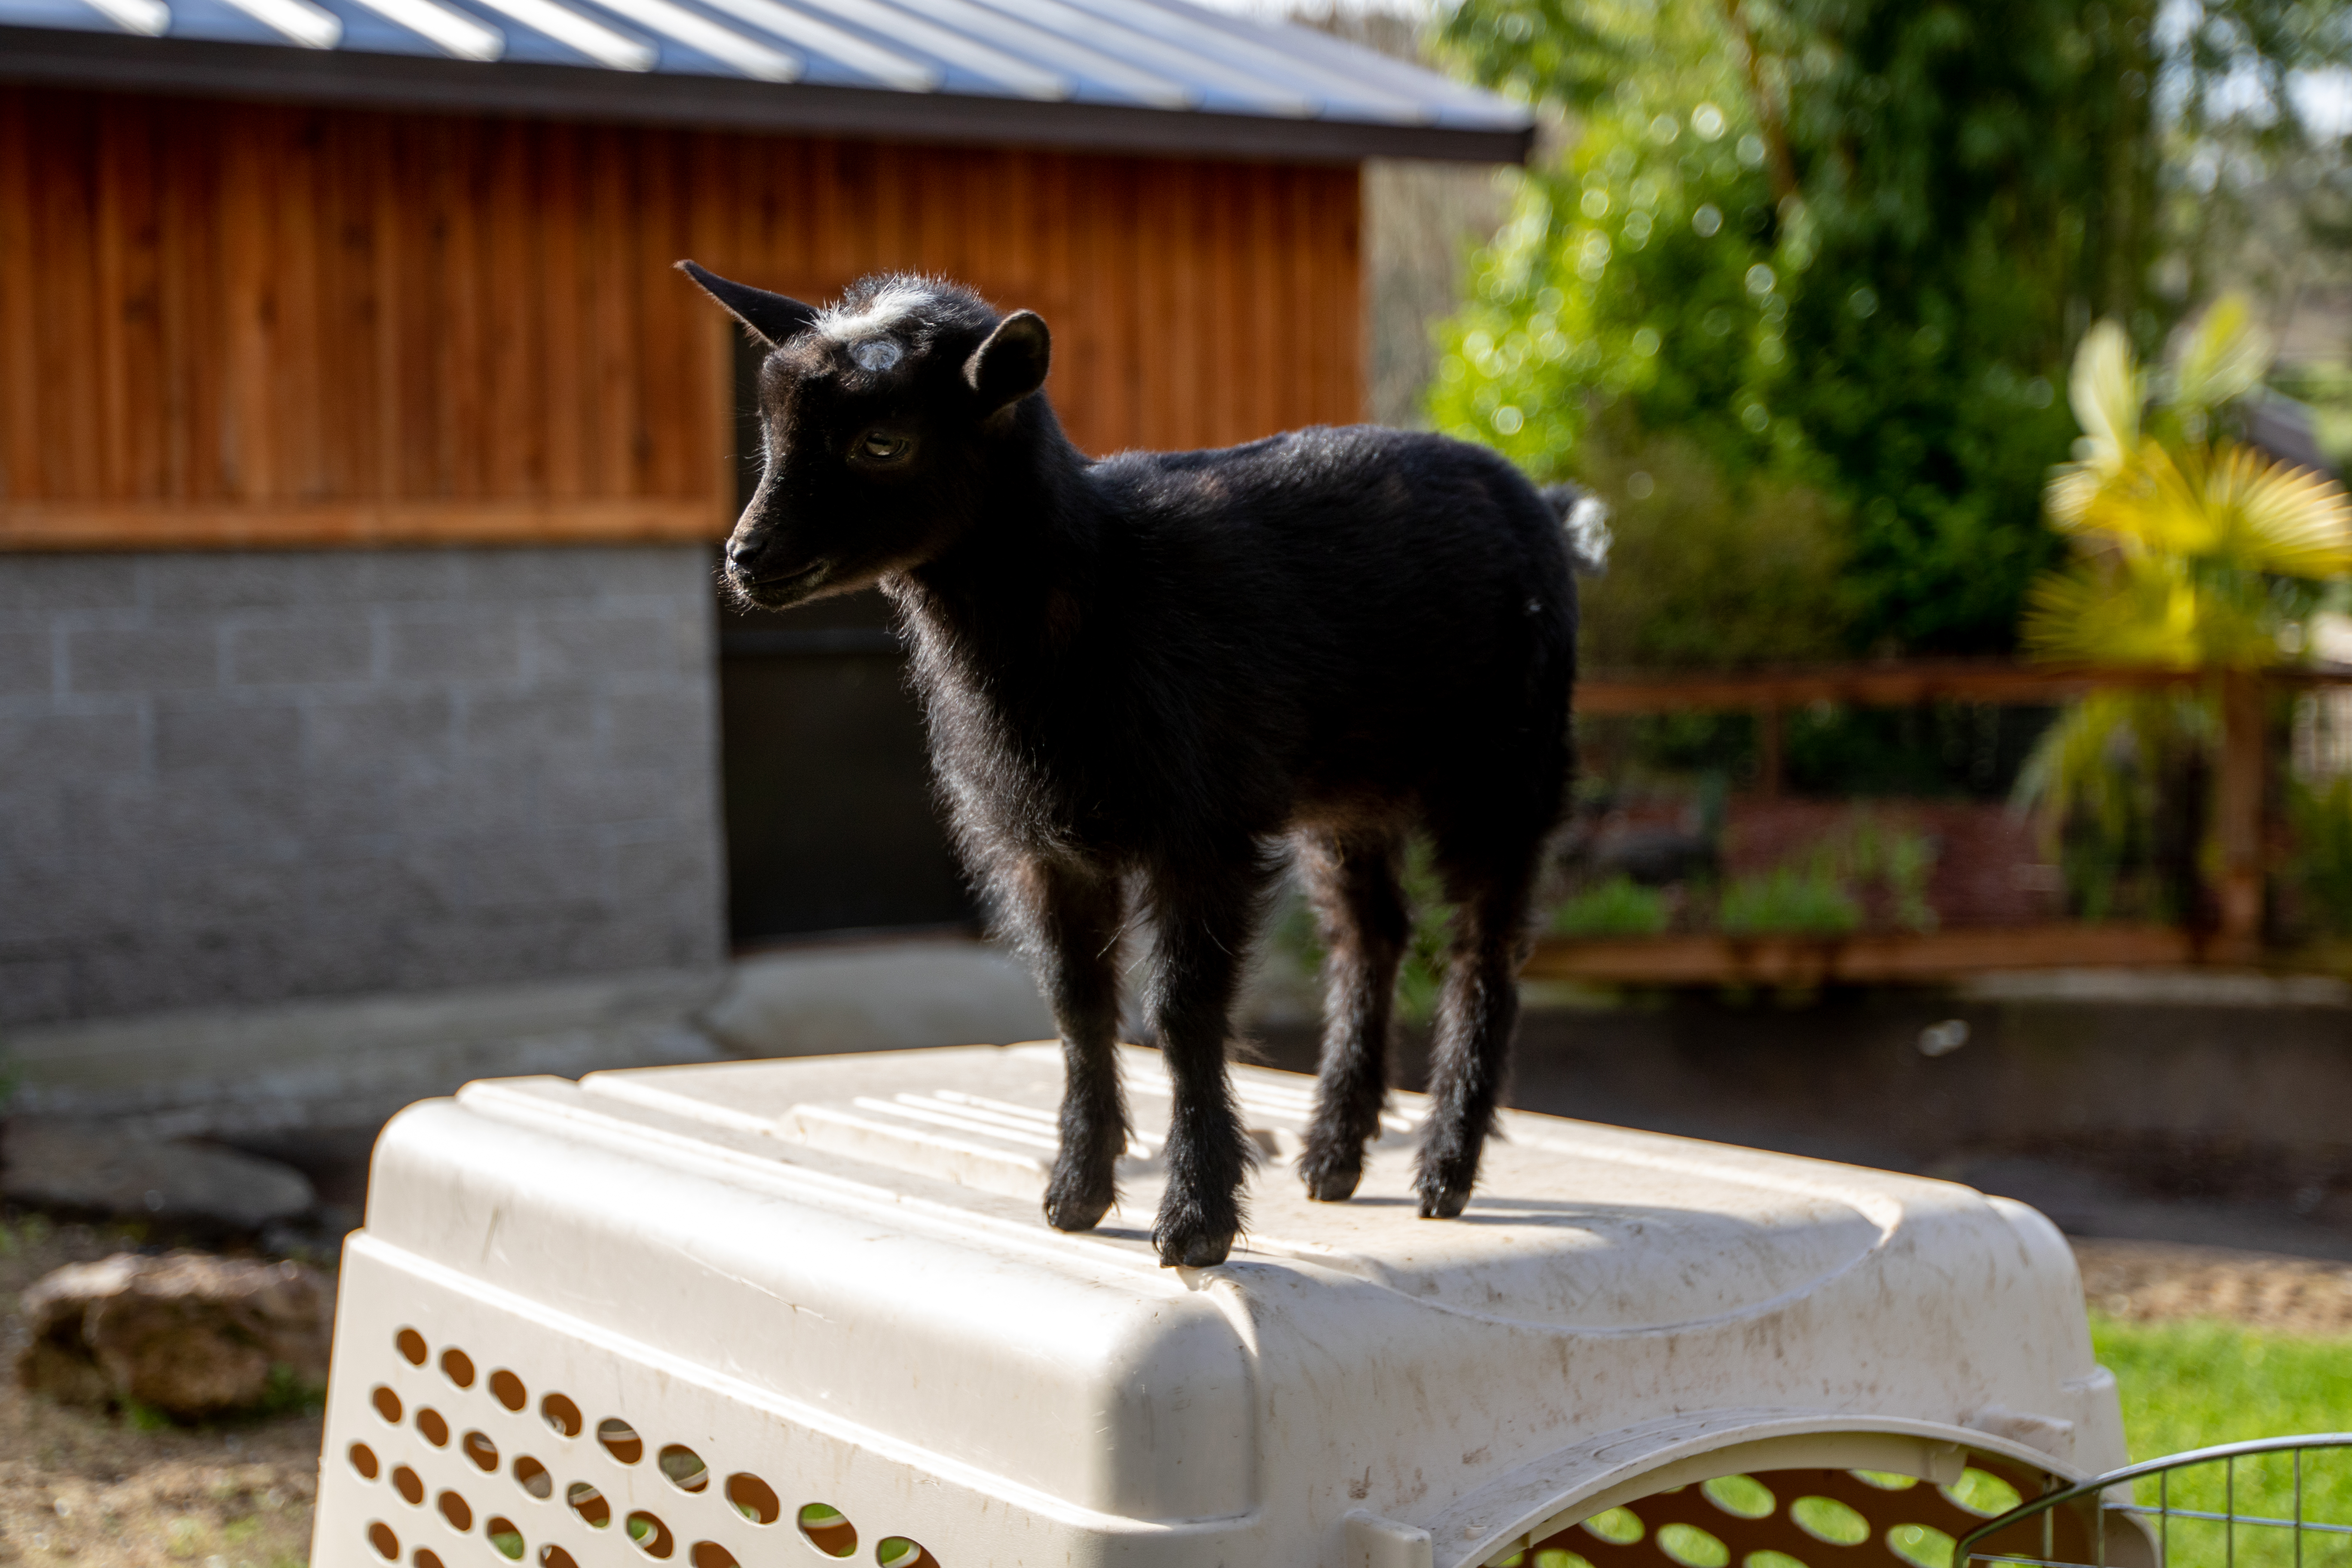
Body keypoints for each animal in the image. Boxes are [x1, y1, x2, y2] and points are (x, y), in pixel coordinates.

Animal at [682, 263, 1599, 1269]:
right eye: (771, 429)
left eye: (882, 442)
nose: (747, 559)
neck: (1095, 590)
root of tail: (1543, 506)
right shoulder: (1042, 849)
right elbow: (1078, 1007)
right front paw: (1077, 1193)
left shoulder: (1201, 832)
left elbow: (1183, 1012)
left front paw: (1196, 1220)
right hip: (1348, 790)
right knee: (1371, 938)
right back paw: (1334, 1156)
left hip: (1507, 762)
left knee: (1482, 948)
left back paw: (1444, 1168)